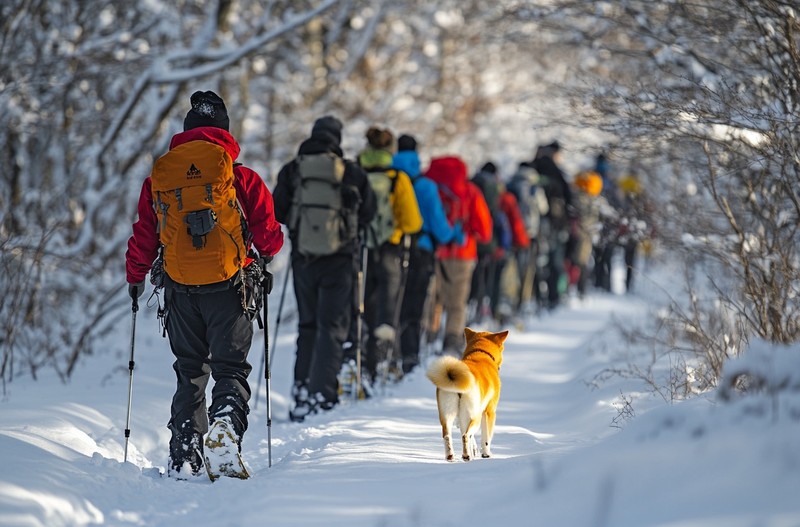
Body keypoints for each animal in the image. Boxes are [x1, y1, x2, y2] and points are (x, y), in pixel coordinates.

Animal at [424, 328, 506, 460]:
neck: (481, 353)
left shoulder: (461, 418)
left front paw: (474, 451)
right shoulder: (489, 412)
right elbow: (486, 438)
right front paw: (486, 454)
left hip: (447, 415)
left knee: (448, 435)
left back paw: (451, 456)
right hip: (475, 416)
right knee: (466, 435)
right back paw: (466, 456)